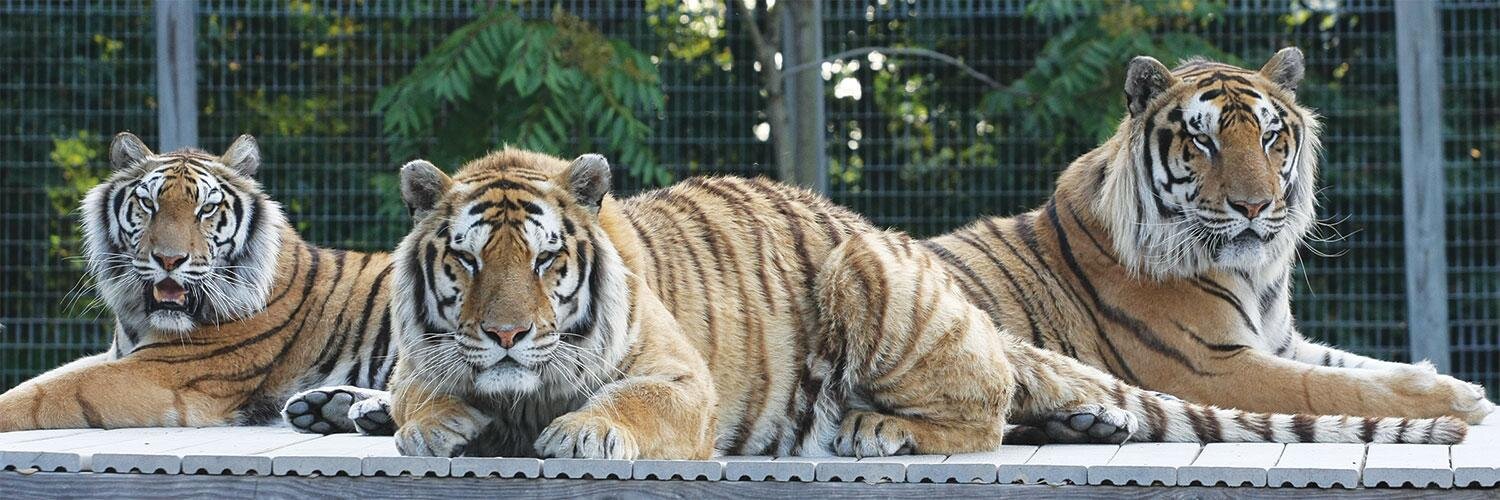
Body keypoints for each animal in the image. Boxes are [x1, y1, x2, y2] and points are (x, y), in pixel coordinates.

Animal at [0, 132, 399, 433]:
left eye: (206, 209)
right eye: (148, 204)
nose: (169, 260)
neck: (140, 317)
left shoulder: (165, 371)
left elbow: (43, 393)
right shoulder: (118, 356)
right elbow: (42, 378)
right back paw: (331, 407)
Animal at [298, 147, 1466, 460]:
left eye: (546, 264)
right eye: (465, 263)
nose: (506, 332)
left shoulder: (678, 375)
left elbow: (628, 404)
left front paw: (579, 432)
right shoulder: (425, 356)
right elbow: (416, 396)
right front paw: (434, 420)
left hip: (877, 283)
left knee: (983, 408)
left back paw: (875, 430)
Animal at [898, 47, 1494, 429]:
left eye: (1270, 136)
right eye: (1202, 140)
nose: (1253, 206)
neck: (1254, 276)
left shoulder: (1282, 343)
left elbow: (1364, 366)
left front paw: (1444, 380)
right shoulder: (1212, 366)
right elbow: (1333, 386)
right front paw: (1462, 399)